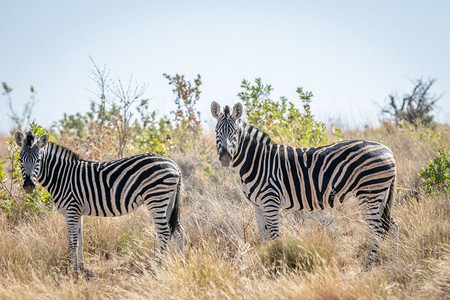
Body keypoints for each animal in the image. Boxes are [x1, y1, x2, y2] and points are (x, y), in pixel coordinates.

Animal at [14, 130, 185, 276]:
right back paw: (180, 261)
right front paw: (83, 269)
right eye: (20, 160)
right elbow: (80, 240)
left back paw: (157, 266)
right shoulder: (77, 212)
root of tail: (174, 164)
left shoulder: (71, 210)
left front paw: (74, 272)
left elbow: (72, 242)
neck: (62, 176)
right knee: (178, 230)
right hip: (168, 202)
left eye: (38, 160)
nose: (28, 186)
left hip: (156, 198)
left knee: (164, 232)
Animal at [210, 102, 398, 270]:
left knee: (378, 230)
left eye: (235, 133)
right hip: (380, 196)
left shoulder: (270, 202)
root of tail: (388, 151)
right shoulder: (257, 206)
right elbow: (263, 237)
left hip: (369, 194)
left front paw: (279, 265)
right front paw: (265, 263)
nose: (225, 157)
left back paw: (367, 268)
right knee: (392, 225)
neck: (258, 162)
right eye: (216, 131)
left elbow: (275, 236)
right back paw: (395, 260)